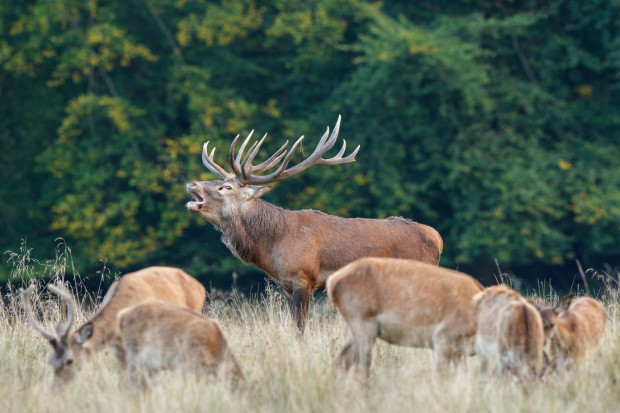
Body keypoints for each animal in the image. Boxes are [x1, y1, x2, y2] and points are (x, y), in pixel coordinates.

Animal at [186, 115, 444, 332]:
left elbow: (301, 328)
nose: (191, 184)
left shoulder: (303, 278)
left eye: (226, 187)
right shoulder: (286, 286)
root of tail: (438, 238)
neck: (273, 244)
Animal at [326, 258, 482, 380]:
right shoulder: (443, 336)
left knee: (340, 363)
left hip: (355, 328)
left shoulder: (458, 350)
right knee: (361, 368)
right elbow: (441, 375)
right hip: (362, 320)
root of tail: (332, 282)